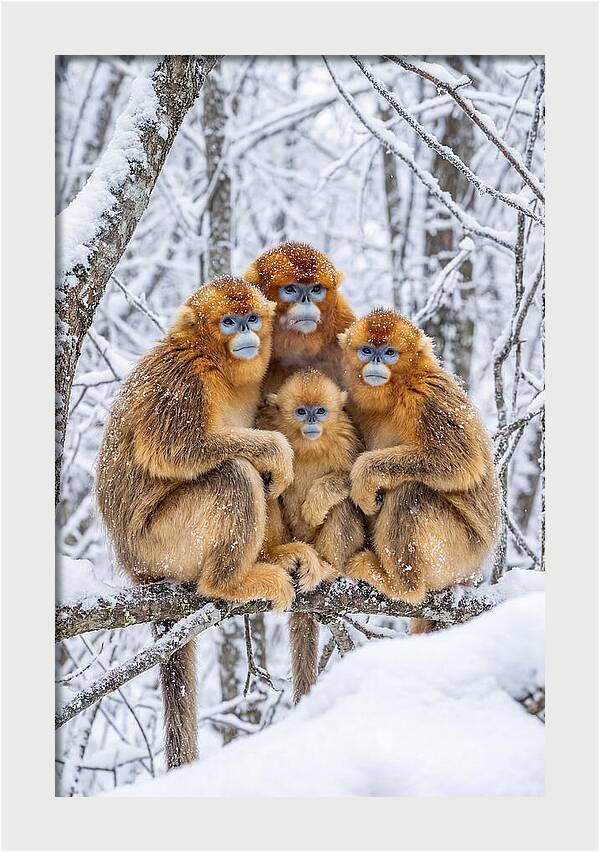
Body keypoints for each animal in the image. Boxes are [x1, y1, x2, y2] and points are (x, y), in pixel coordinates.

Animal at [95, 276, 297, 769]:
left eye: (251, 318)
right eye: (229, 321)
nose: (246, 332)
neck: (217, 366)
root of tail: (136, 569)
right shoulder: (183, 379)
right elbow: (176, 450)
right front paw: (276, 449)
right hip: (162, 544)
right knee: (234, 474)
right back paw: (229, 582)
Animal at [261, 370, 366, 702]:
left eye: (320, 411)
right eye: (300, 411)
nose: (311, 421)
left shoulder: (348, 438)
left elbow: (356, 482)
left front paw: (316, 503)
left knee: (344, 505)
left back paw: (329, 568)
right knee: (266, 488)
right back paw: (277, 557)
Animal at [338, 308, 501, 633]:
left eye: (389, 352)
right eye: (367, 350)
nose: (376, 361)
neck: (397, 391)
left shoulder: (428, 396)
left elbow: (461, 461)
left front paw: (365, 475)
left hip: (459, 554)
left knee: (411, 492)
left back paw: (401, 585)